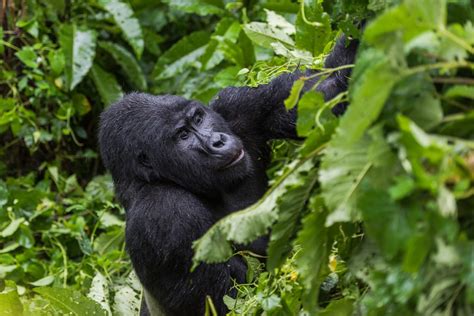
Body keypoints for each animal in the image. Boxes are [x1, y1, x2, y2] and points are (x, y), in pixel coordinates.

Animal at [99, 35, 360, 314]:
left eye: (198, 119)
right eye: (183, 135)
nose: (217, 141)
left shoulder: (234, 108)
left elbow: (326, 87)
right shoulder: (163, 215)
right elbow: (236, 296)